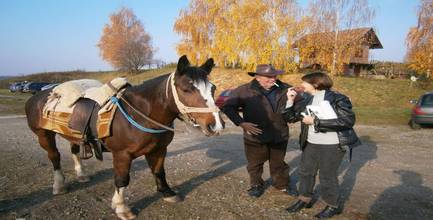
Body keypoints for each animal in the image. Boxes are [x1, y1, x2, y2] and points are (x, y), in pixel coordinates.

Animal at [24, 55, 224, 220]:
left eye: (213, 88)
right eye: (186, 89)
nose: (216, 125)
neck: (140, 112)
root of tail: (40, 95)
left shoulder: (159, 149)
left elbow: (159, 172)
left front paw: (167, 193)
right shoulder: (122, 154)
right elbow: (122, 180)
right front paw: (121, 208)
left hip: (74, 135)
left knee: (74, 150)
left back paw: (81, 175)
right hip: (44, 135)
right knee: (54, 157)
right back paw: (59, 186)